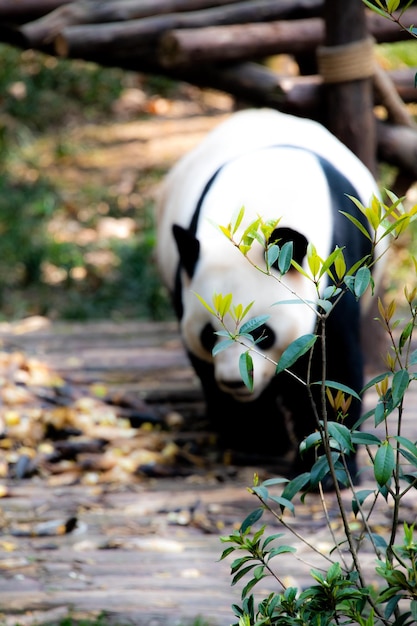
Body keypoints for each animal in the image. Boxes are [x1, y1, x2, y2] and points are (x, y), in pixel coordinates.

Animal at [155, 106, 384, 478]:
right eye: (209, 334)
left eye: (263, 333)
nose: (235, 382)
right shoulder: (185, 281)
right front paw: (257, 435)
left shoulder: (337, 270)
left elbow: (331, 366)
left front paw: (324, 463)